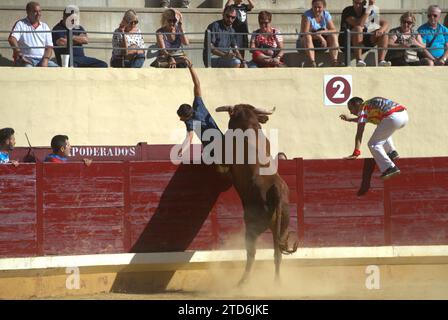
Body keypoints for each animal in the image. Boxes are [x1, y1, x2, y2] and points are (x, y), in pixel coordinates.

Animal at [216, 103, 298, 284]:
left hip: (252, 227)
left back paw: (242, 282)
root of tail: (276, 190)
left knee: (251, 253)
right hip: (282, 226)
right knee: (277, 254)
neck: (248, 124)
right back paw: (277, 283)